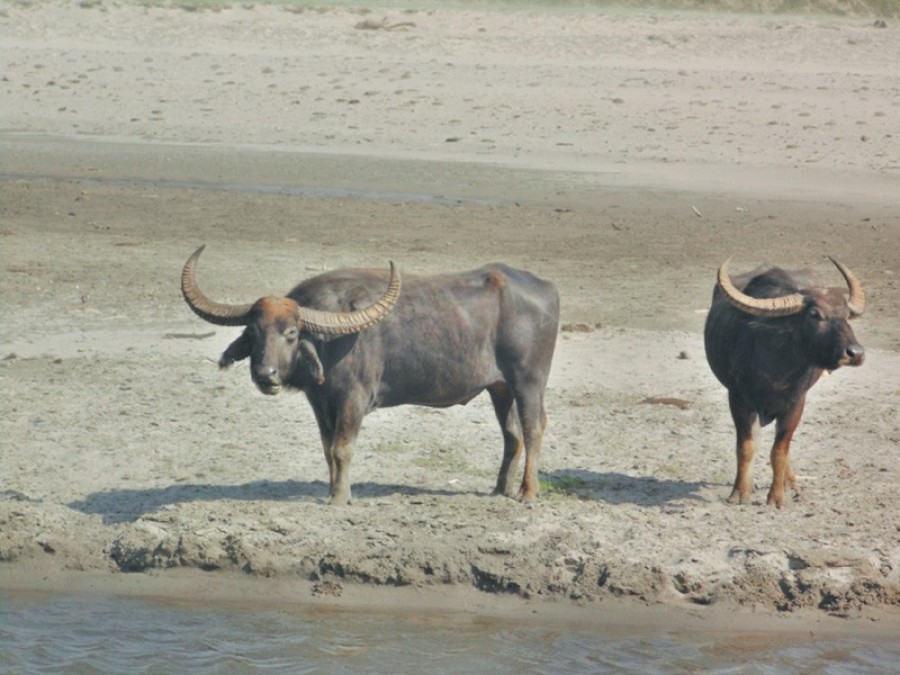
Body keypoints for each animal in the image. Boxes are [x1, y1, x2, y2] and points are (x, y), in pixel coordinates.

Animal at [182, 246, 560, 504]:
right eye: (254, 331)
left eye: (290, 333)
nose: (265, 374)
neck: (329, 342)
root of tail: (546, 287)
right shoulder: (320, 403)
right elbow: (327, 449)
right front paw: (333, 490)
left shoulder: (354, 400)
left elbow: (342, 448)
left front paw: (339, 498)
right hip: (499, 387)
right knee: (512, 434)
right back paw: (500, 489)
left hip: (529, 381)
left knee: (533, 428)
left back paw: (527, 493)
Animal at [704, 258, 864, 508]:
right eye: (815, 314)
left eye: (846, 315)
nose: (855, 353)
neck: (777, 370)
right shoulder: (738, 400)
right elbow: (746, 447)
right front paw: (739, 492)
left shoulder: (796, 404)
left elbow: (779, 451)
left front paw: (777, 496)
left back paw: (791, 483)